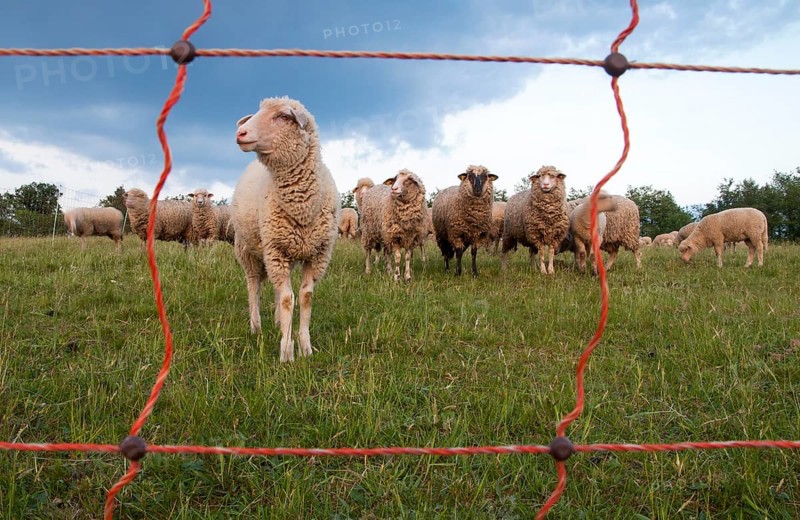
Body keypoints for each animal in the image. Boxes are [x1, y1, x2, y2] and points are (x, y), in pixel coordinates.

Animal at [232, 96, 339, 362]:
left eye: (282, 116)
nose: (240, 133)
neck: (302, 205)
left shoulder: (317, 254)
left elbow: (304, 297)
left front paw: (305, 347)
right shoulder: (276, 249)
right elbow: (288, 299)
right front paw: (286, 351)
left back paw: (277, 322)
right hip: (247, 249)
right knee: (254, 286)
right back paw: (256, 326)